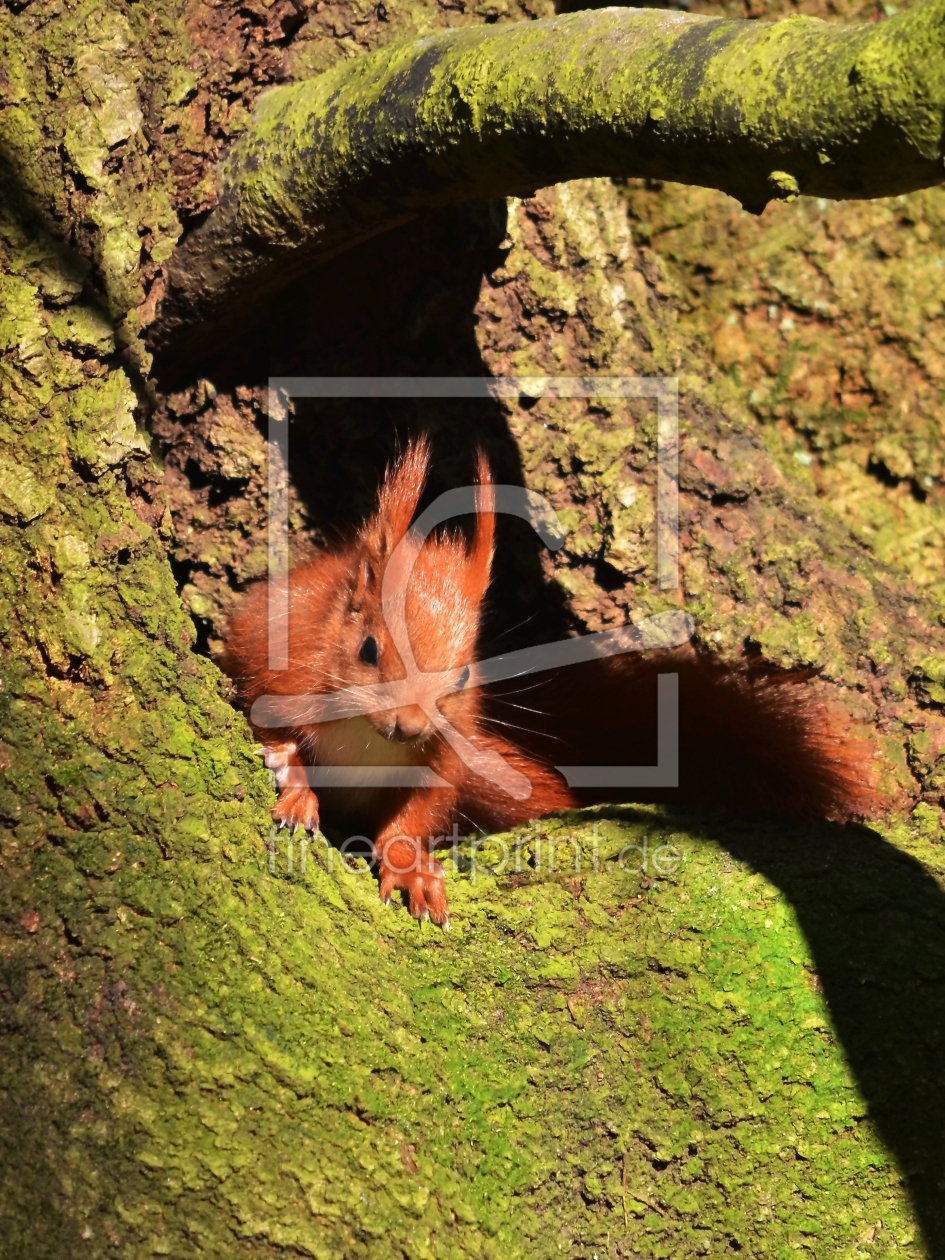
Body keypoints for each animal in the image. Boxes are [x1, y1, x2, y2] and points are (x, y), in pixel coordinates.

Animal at [220, 441, 882, 927]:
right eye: (367, 649)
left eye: (467, 671)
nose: (410, 725)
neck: (368, 736)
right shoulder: (269, 652)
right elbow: (262, 713)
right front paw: (295, 781)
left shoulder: (445, 756)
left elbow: (417, 815)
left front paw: (412, 868)